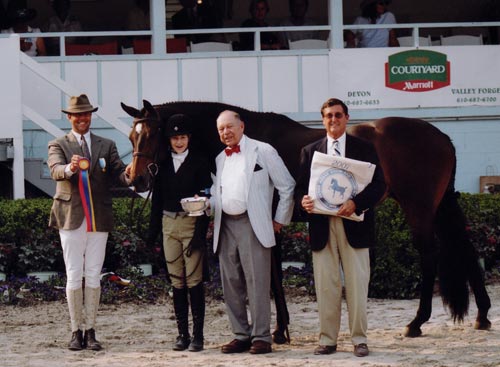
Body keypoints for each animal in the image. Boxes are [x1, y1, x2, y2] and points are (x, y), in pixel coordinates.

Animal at [122, 100, 492, 340]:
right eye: (131, 137)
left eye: (152, 134)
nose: (134, 178)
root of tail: (441, 137)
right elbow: (273, 272)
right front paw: (280, 328)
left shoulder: (267, 219)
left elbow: (270, 275)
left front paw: (278, 331)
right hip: (441, 206)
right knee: (467, 250)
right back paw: (483, 316)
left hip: (419, 207)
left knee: (430, 256)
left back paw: (416, 323)